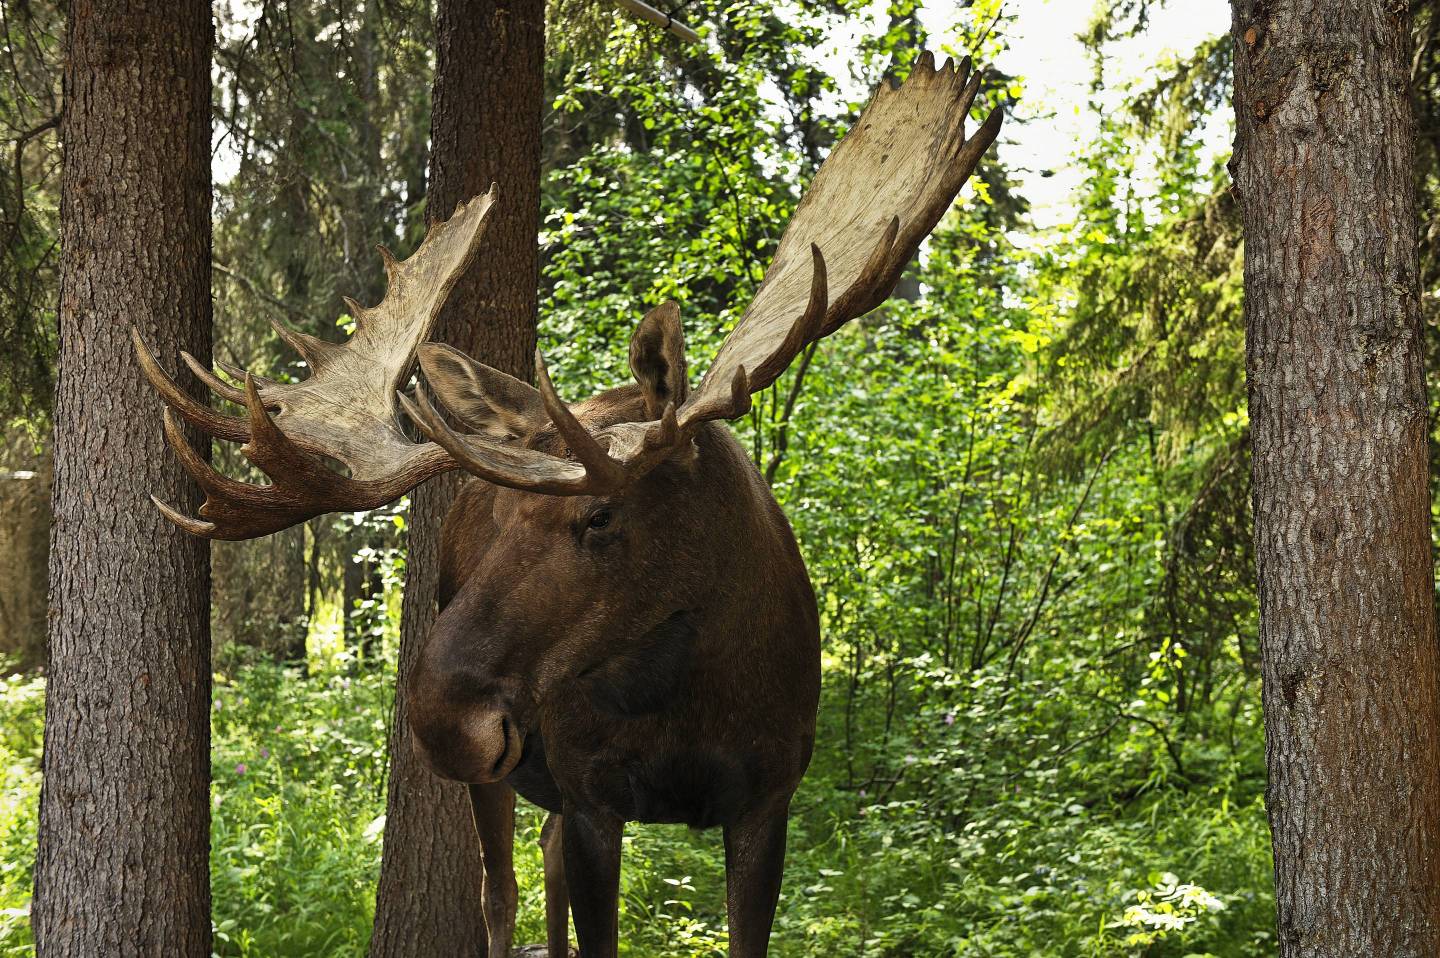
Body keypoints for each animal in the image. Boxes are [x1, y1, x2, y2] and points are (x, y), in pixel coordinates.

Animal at [134, 51, 1001, 958]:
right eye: (494, 522)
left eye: (601, 516)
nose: (442, 718)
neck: (697, 695)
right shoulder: (592, 797)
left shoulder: (771, 798)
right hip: (503, 780)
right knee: (500, 889)